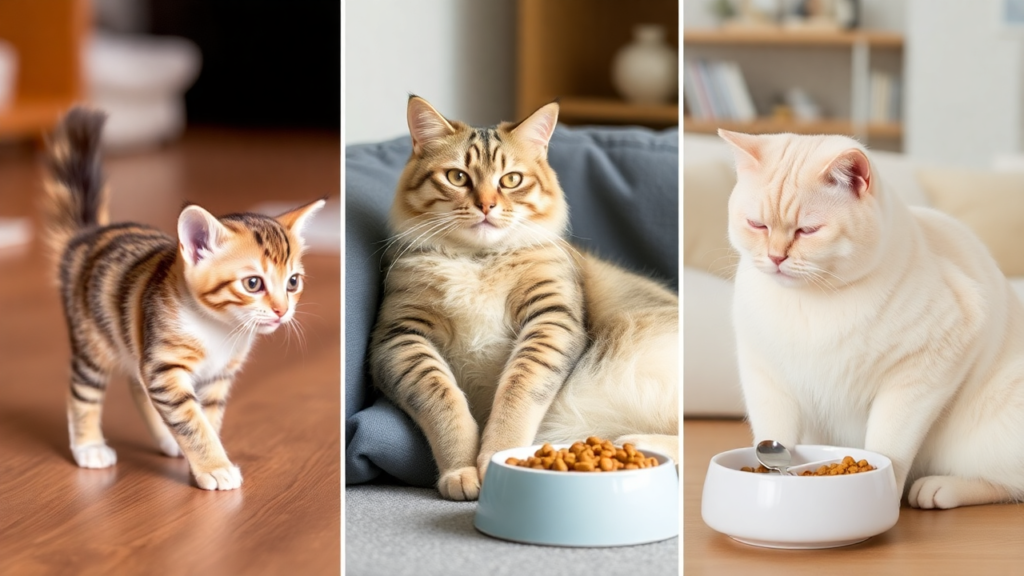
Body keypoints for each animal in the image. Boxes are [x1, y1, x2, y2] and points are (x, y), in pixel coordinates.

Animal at [43, 107, 323, 487]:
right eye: (253, 284)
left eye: (293, 282)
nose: (282, 311)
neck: (219, 329)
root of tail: (88, 235)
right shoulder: (164, 367)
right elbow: (191, 420)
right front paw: (215, 467)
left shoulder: (215, 377)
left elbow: (206, 418)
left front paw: (204, 456)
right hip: (93, 340)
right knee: (83, 390)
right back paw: (89, 447)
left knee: (137, 385)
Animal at [370, 95, 679, 498]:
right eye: (457, 177)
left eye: (511, 180)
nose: (486, 206)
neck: (478, 260)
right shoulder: (400, 337)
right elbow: (444, 401)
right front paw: (460, 470)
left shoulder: (551, 319)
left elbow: (517, 394)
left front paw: (500, 459)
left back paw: (637, 441)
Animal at [720, 129, 1024, 506]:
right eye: (757, 225)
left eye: (808, 231)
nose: (776, 257)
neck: (812, 302)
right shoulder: (766, 377)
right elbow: (773, 435)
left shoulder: (921, 375)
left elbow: (889, 446)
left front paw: (884, 490)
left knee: (1005, 483)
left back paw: (937, 489)